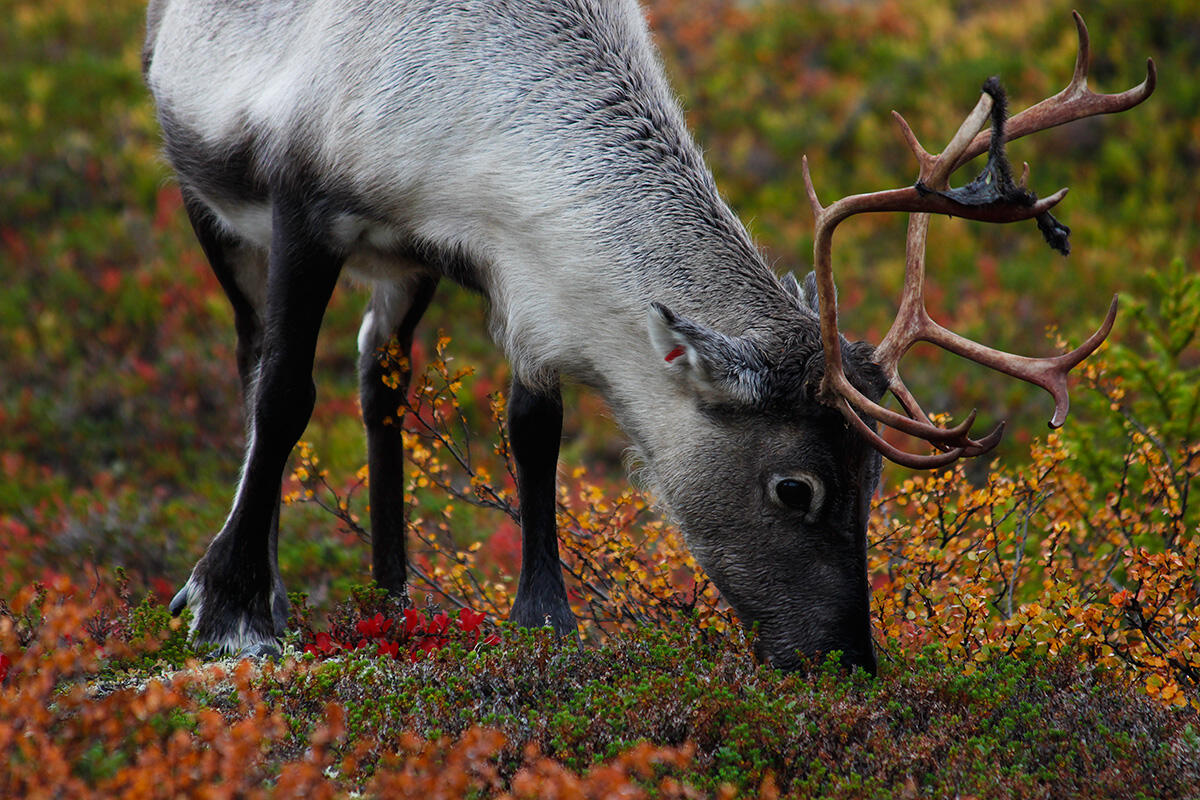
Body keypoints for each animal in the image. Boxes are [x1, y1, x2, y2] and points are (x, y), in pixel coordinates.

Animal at [142, 0, 1154, 674]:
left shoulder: (521, 273)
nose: (849, 660)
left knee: (377, 378)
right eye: (795, 488)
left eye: (873, 480)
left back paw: (391, 596)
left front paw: (544, 619)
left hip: (400, 271)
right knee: (259, 368)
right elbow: (284, 396)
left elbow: (534, 433)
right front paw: (231, 605)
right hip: (210, 209)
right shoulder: (303, 208)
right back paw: (263, 582)